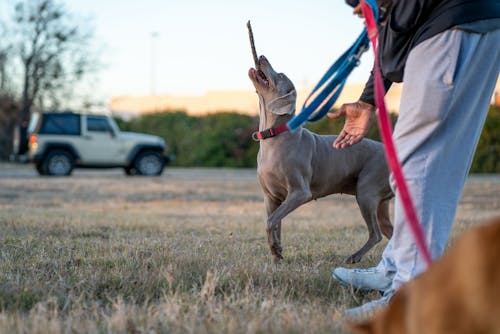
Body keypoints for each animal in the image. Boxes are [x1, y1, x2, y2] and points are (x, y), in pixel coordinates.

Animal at [248, 55, 392, 264]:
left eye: (280, 75)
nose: (261, 56)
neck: (273, 136)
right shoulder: (272, 197)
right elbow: (275, 224)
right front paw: (277, 256)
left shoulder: (300, 192)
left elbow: (270, 221)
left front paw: (276, 250)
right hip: (380, 203)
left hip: (367, 191)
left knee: (376, 234)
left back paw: (354, 257)